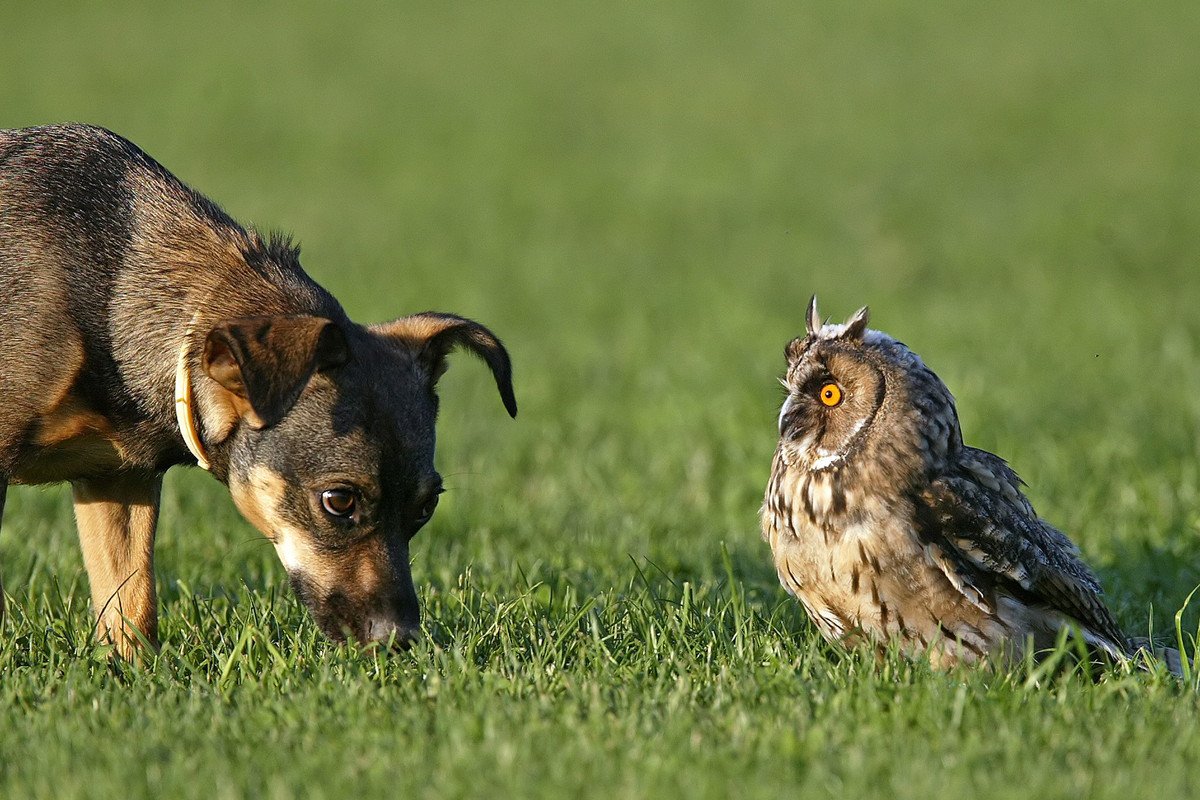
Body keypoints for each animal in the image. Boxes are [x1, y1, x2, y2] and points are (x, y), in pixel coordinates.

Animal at [0, 125, 516, 662]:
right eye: (339, 501)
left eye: (426, 507)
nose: (398, 640)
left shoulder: (118, 481)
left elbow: (131, 605)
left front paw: (130, 673)